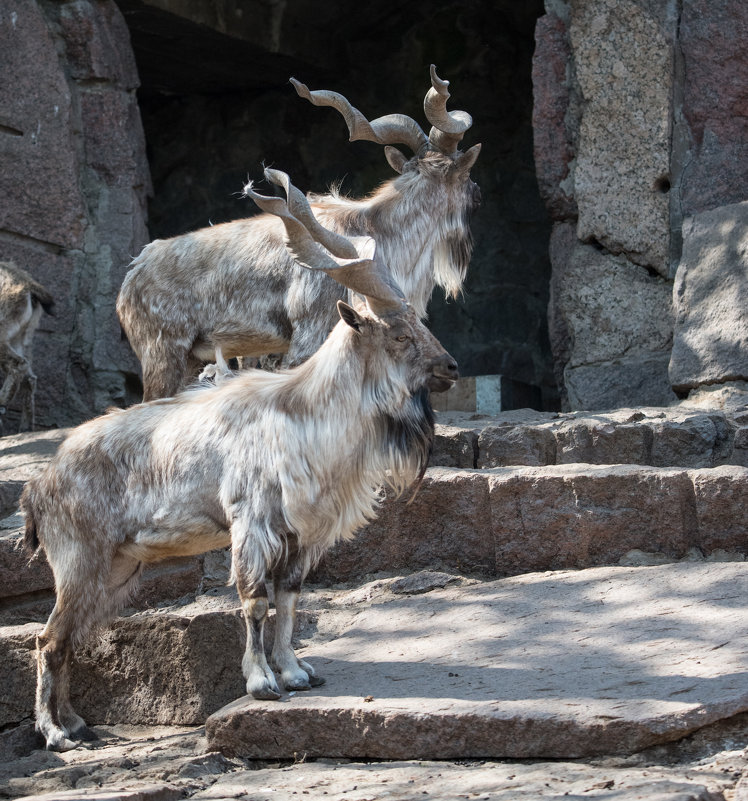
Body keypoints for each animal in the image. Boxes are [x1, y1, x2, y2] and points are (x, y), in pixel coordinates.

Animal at [21, 167, 456, 752]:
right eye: (402, 334)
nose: (452, 367)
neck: (303, 411)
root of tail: (40, 485)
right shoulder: (252, 523)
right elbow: (253, 600)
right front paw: (262, 683)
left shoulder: (300, 536)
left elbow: (288, 598)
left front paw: (296, 672)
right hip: (79, 560)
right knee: (47, 639)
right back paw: (54, 733)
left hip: (116, 568)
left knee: (66, 637)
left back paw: (75, 724)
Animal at [117, 66, 480, 400]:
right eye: (465, 175)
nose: (477, 193)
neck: (374, 229)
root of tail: (131, 278)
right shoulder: (309, 332)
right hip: (165, 354)